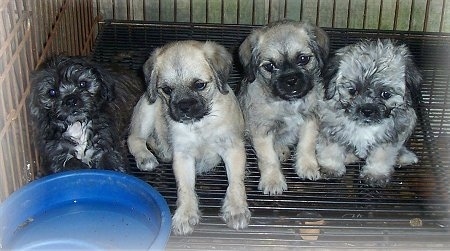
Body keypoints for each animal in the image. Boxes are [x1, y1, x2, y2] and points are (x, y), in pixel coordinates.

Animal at [316, 38, 422, 185]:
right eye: (352, 91)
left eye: (385, 94)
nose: (367, 110)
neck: (364, 126)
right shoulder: (331, 129)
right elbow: (331, 150)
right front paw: (331, 167)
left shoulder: (388, 137)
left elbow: (381, 156)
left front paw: (376, 174)